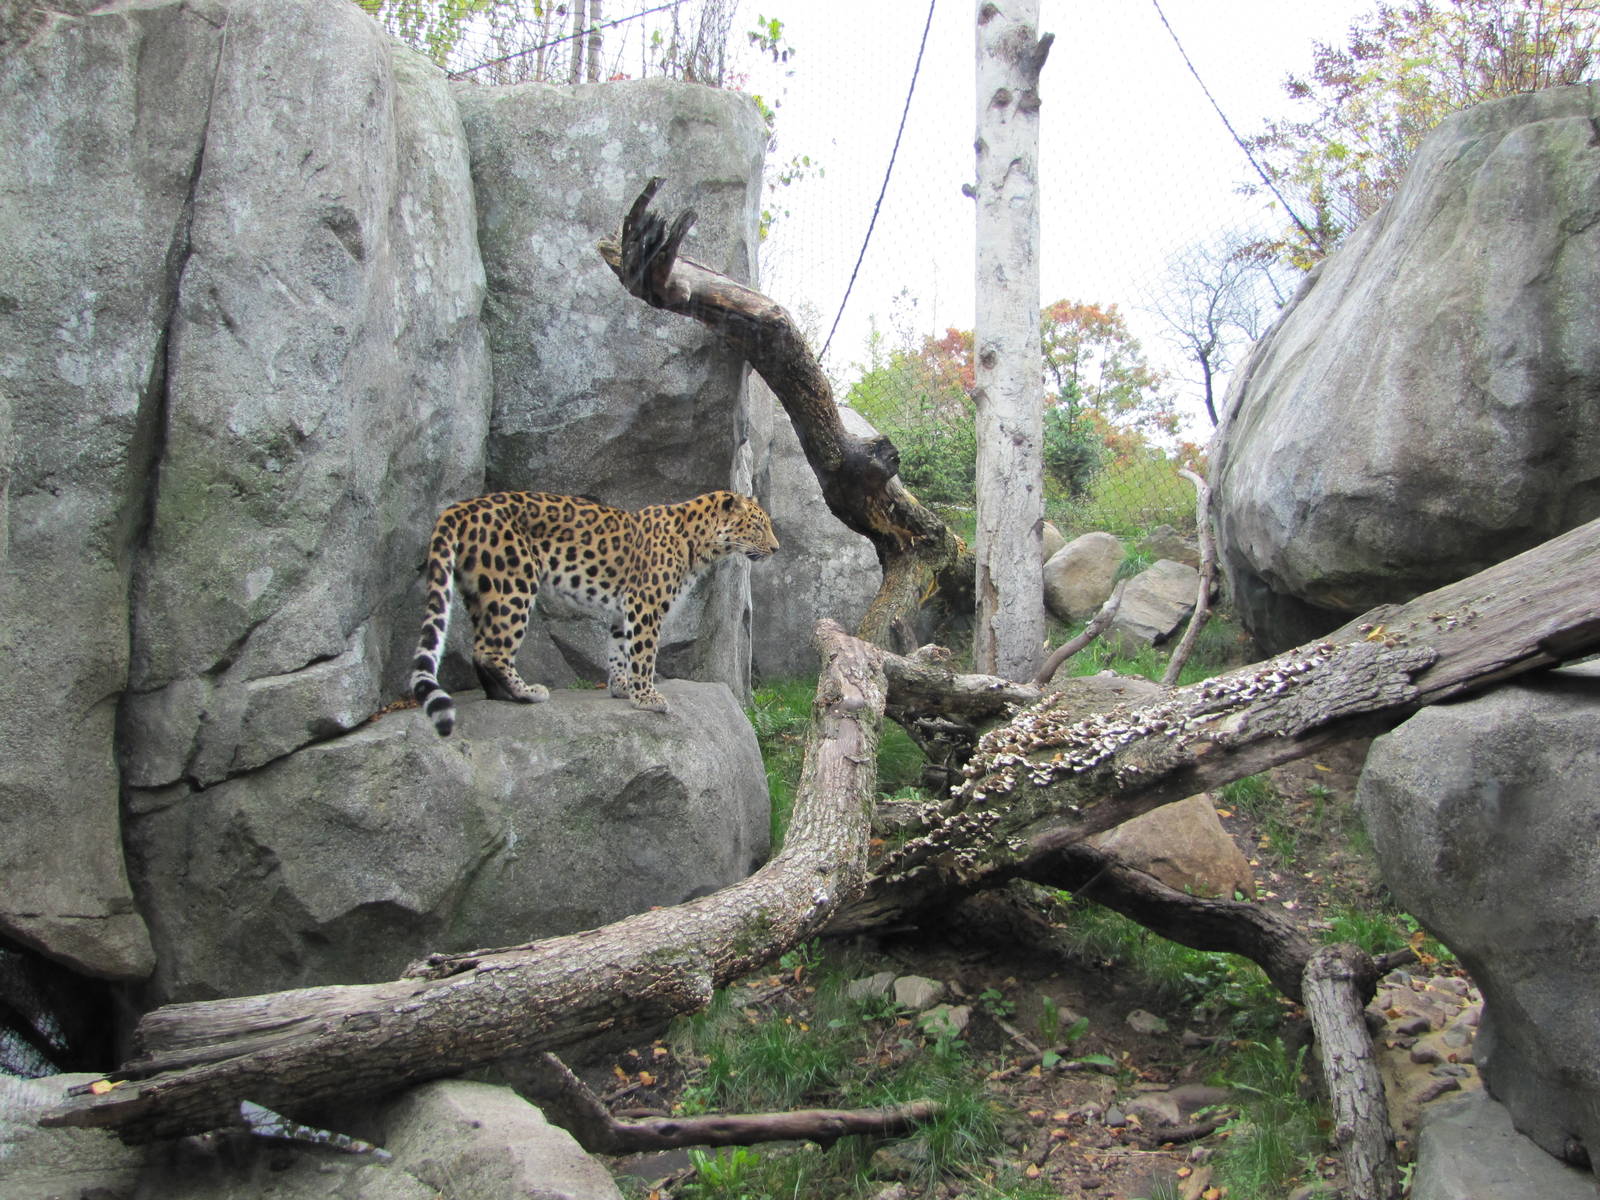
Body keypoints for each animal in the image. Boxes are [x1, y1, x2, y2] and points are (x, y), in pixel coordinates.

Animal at [410, 489, 778, 736]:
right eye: (757, 527)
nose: (776, 548)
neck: (700, 544)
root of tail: (463, 506)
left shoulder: (623, 608)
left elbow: (619, 649)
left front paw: (622, 688)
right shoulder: (645, 603)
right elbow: (643, 653)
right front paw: (646, 697)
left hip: (479, 590)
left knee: (480, 647)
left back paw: (502, 695)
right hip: (513, 584)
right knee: (492, 649)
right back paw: (526, 692)